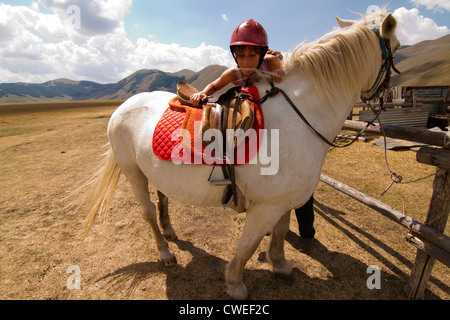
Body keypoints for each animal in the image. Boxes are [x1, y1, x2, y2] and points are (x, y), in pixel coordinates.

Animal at [83, 10, 398, 300]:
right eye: (395, 46)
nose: (389, 93)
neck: (301, 115)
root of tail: (125, 105)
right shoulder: (265, 208)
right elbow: (247, 247)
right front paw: (235, 284)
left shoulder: (282, 202)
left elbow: (281, 231)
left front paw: (280, 265)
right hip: (133, 172)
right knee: (147, 211)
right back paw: (165, 253)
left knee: (162, 197)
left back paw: (170, 231)